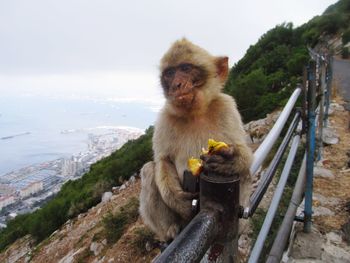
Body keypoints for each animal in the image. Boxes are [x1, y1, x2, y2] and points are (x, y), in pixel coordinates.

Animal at [139, 38, 252, 242]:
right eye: (170, 73)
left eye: (185, 68)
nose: (176, 84)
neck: (194, 114)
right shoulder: (164, 119)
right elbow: (163, 160)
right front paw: (179, 200)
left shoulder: (226, 106)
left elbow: (243, 149)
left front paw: (230, 159)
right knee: (149, 170)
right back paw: (171, 230)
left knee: (244, 173)